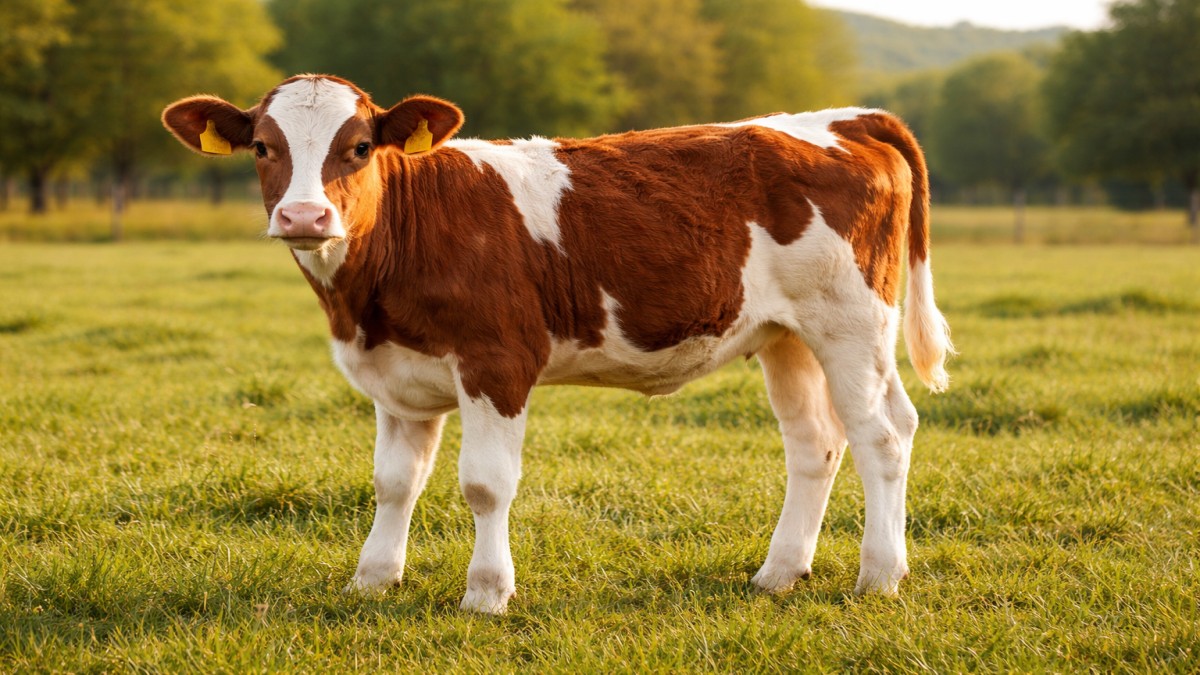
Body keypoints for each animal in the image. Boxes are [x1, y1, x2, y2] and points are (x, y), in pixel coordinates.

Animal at [162, 74, 953, 614]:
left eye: (359, 147)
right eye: (262, 147)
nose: (305, 215)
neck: (368, 300)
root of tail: (837, 117)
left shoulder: (498, 361)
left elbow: (485, 483)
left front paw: (486, 593)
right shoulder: (396, 378)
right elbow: (393, 482)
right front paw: (373, 579)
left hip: (851, 323)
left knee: (883, 435)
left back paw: (880, 574)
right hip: (785, 335)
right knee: (816, 442)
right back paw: (779, 571)